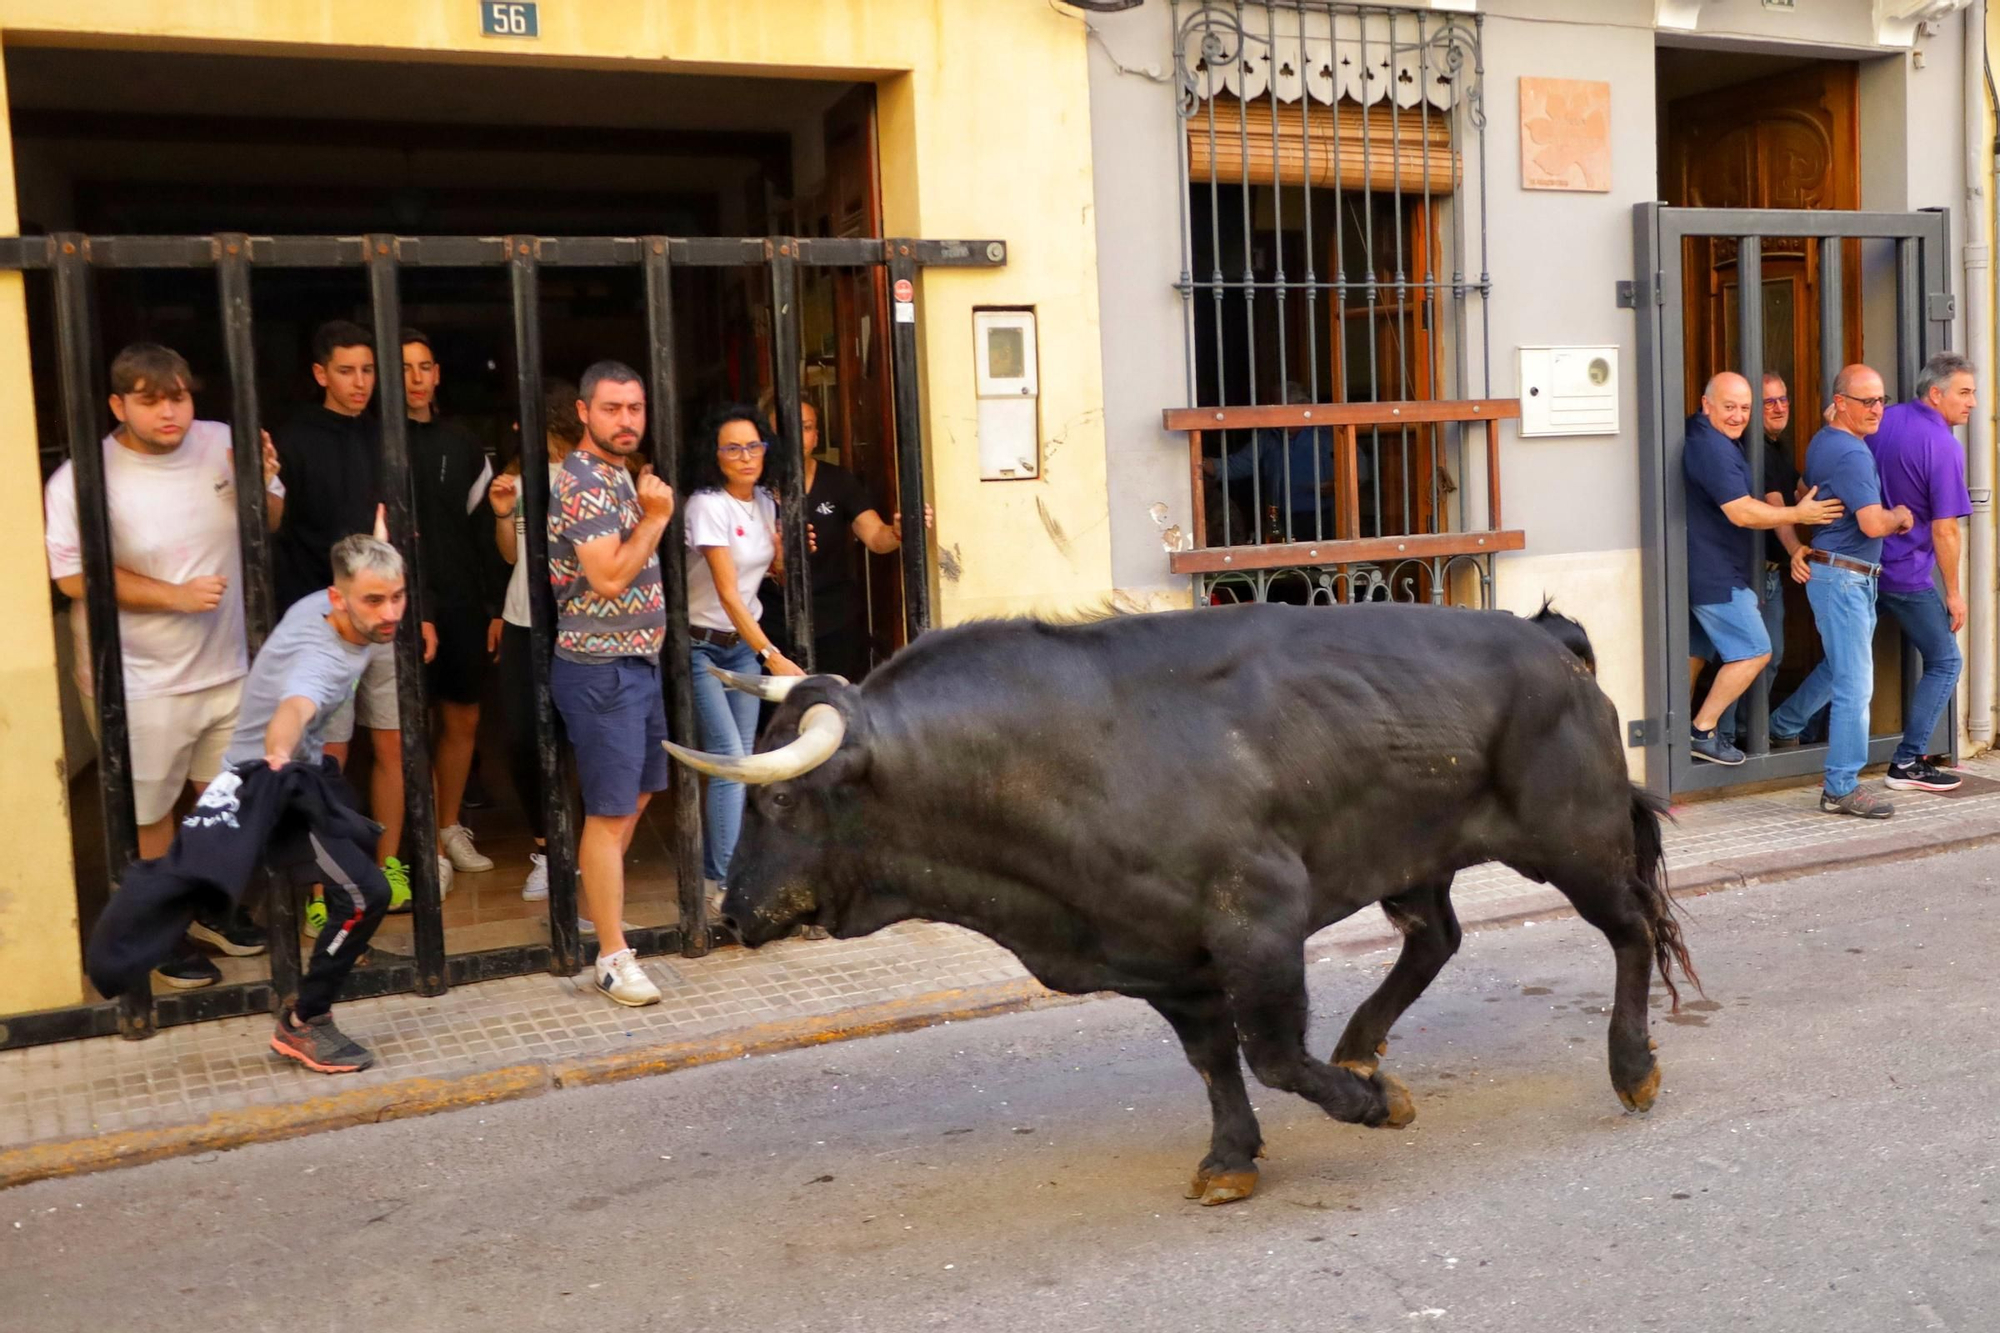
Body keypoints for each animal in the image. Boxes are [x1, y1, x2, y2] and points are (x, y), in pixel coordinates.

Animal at [664, 596, 1696, 1200]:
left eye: (779, 798)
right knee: (1434, 937)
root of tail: (1544, 636)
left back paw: (1632, 1065)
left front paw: (1372, 1107)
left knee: (1630, 930)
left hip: (1574, 838)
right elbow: (1212, 1060)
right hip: (1416, 854)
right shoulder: (1163, 957)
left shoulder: (1260, 921)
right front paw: (1233, 1155)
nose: (733, 914)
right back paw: (1363, 1043)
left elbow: (1271, 1054)